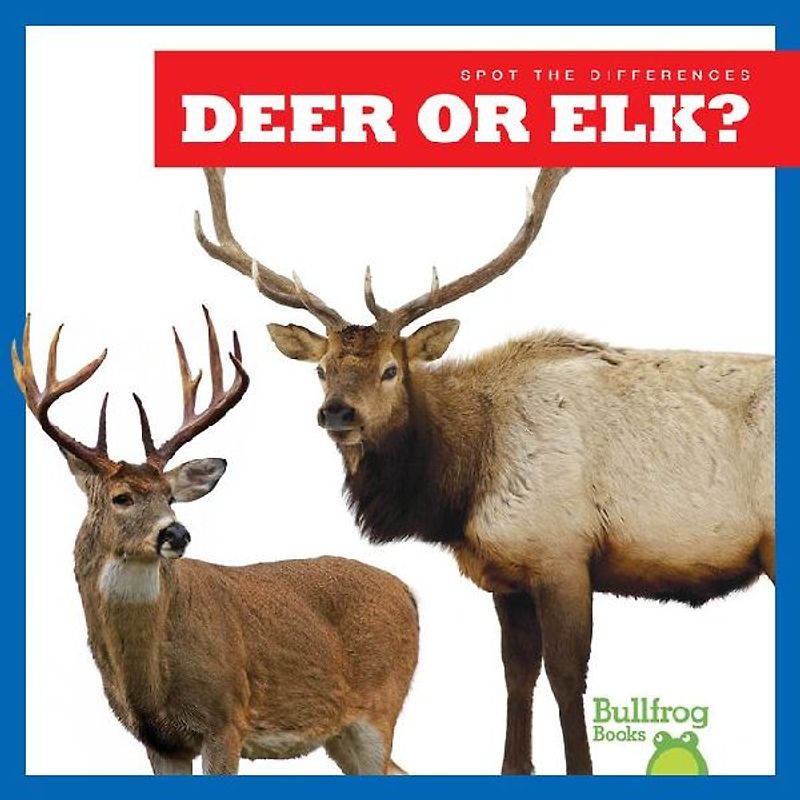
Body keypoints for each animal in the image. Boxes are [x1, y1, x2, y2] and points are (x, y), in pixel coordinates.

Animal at [14, 308, 419, 776]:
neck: (148, 682)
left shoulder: (225, 718)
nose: (176, 532)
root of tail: (408, 592)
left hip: (379, 707)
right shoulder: (159, 742)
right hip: (342, 734)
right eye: (122, 497)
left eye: (169, 496)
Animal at [193, 167, 774, 775]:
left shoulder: (563, 555)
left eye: (391, 369)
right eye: (322, 370)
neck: (462, 487)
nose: (337, 413)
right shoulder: (508, 571)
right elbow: (516, 674)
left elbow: (567, 677)